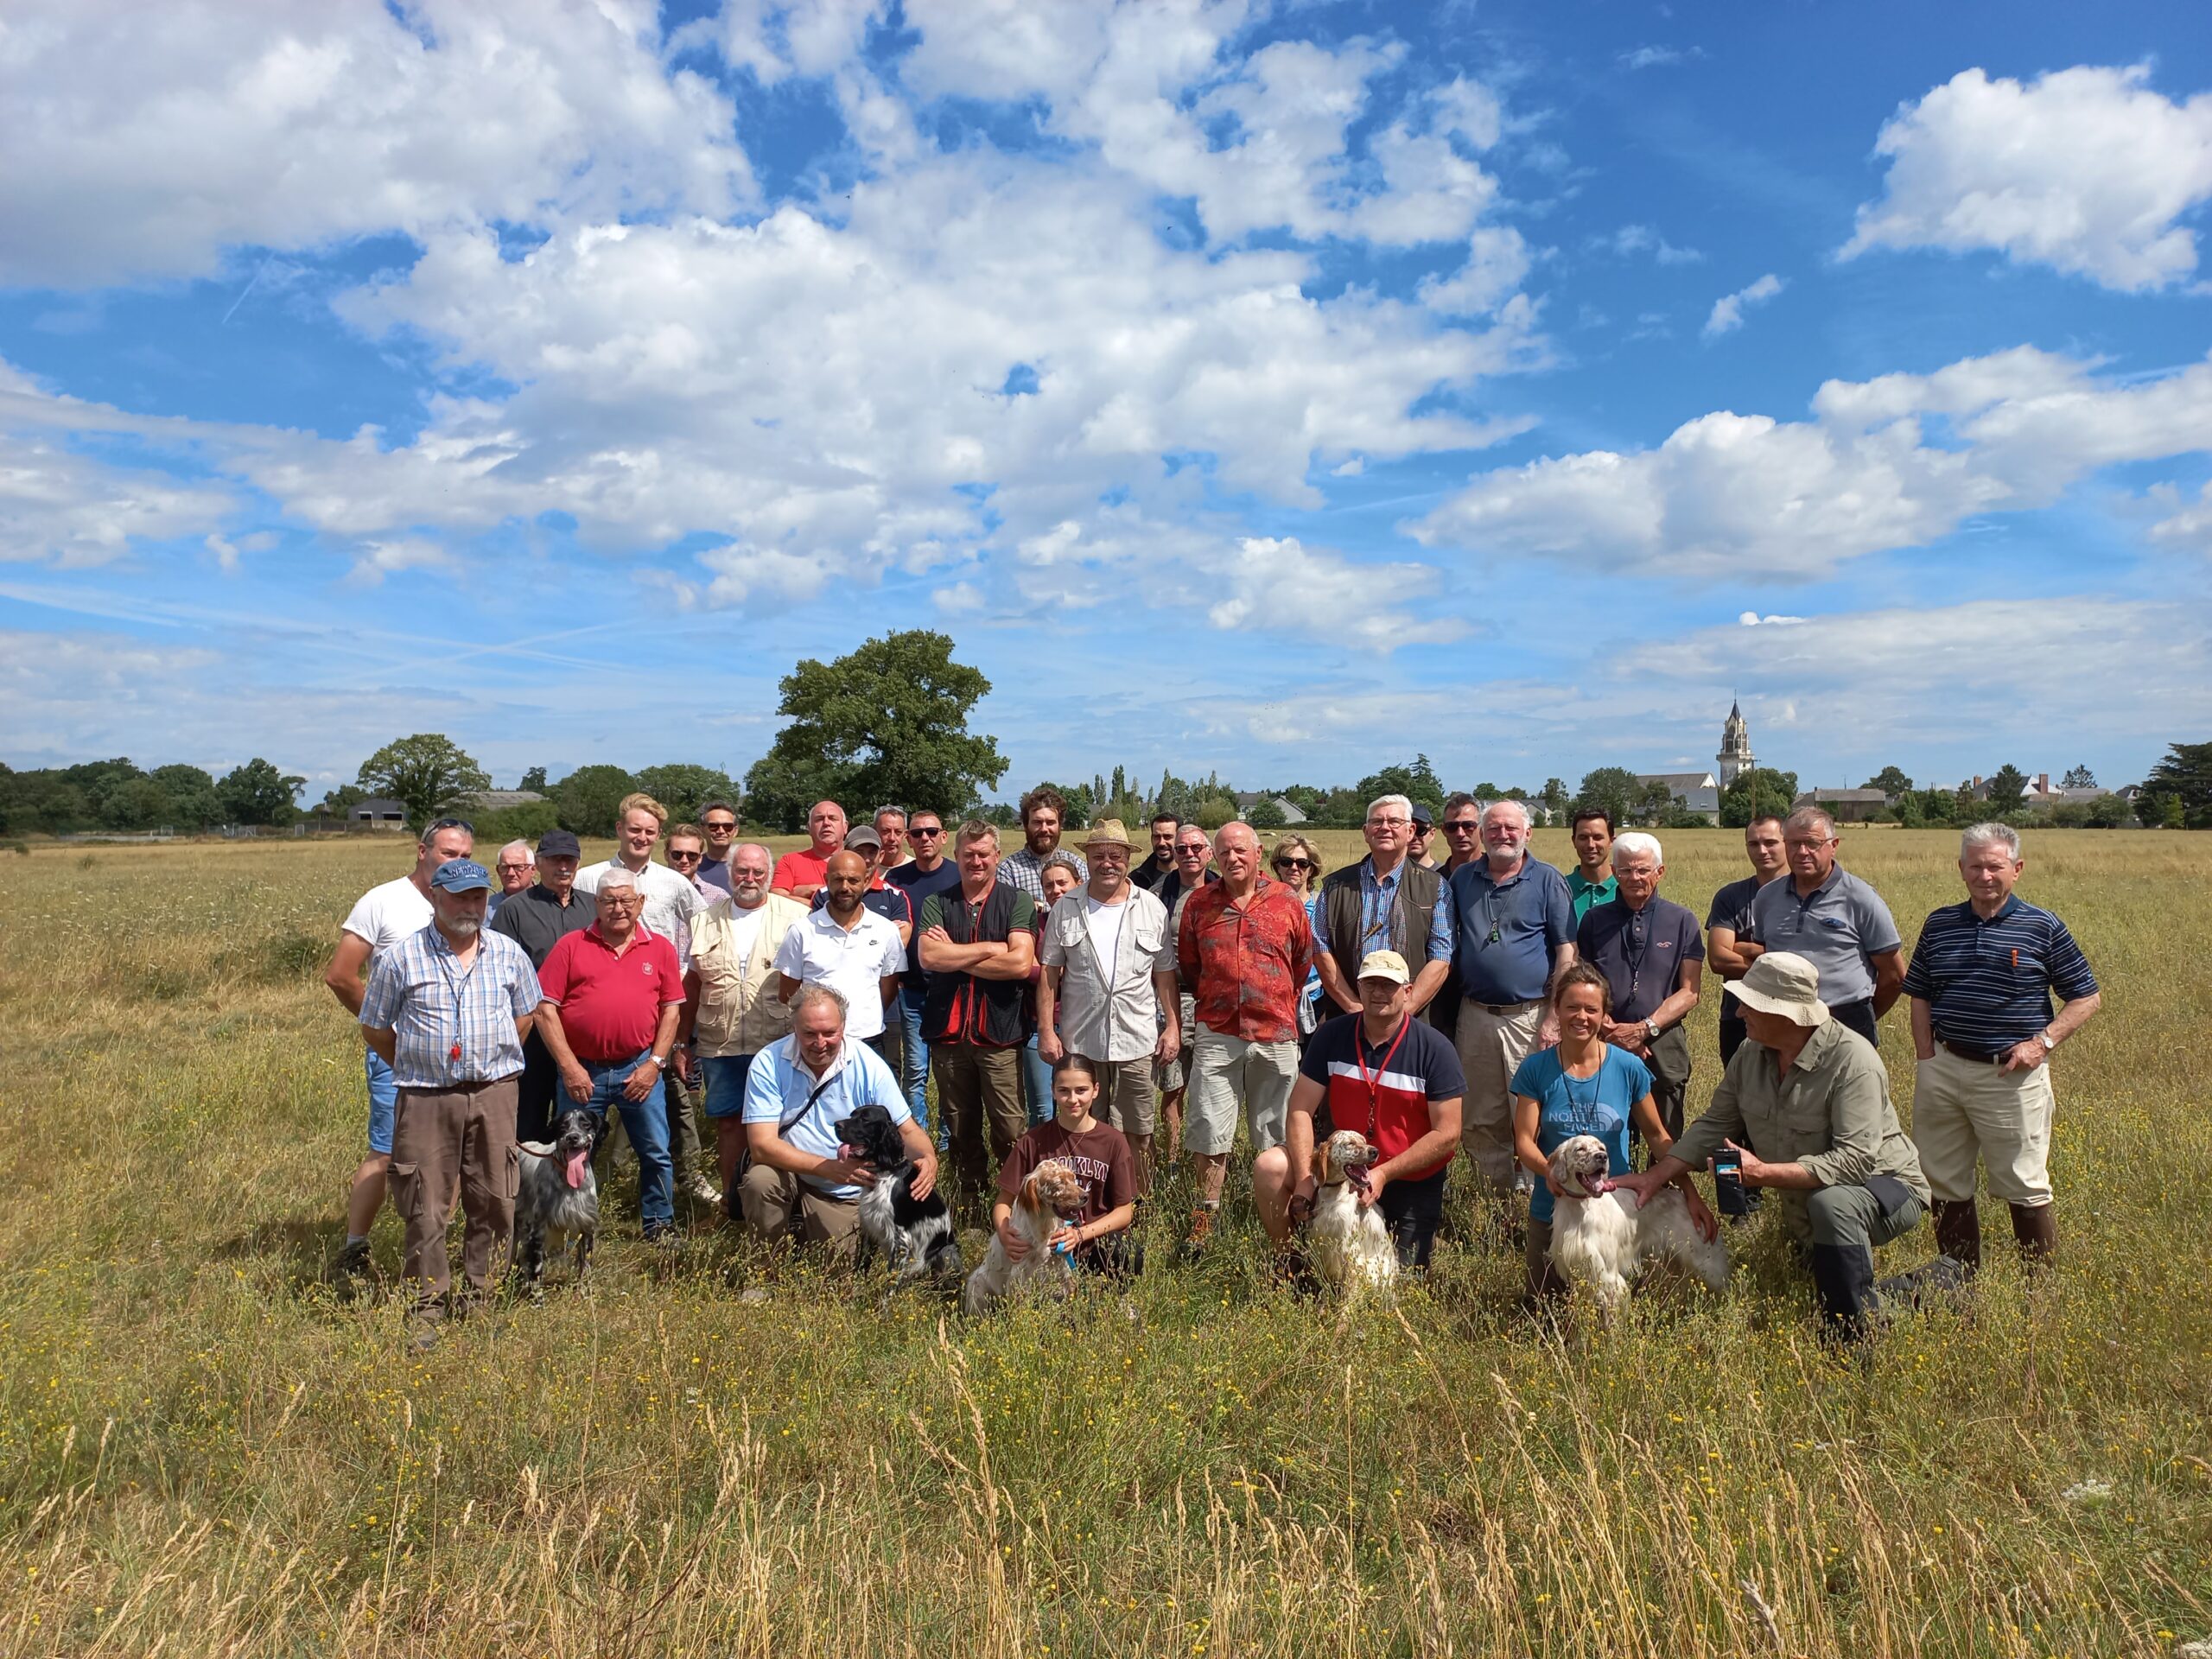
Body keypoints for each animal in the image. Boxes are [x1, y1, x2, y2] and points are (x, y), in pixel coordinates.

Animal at [508, 1119, 597, 1300]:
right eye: (563, 1125)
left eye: (586, 1124)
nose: (572, 1138)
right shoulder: (536, 1231)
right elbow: (536, 1271)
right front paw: (537, 1299)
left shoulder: (587, 1227)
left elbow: (586, 1266)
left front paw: (584, 1293)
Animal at [831, 1110, 960, 1292]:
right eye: (852, 1115)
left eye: (865, 1119)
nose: (836, 1125)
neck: (886, 1171)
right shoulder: (869, 1227)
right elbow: (863, 1263)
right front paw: (856, 1292)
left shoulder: (901, 1240)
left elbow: (890, 1282)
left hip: (946, 1252)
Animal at [960, 1159, 1088, 1318]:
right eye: (1059, 1182)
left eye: (1072, 1178)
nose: (1086, 1196)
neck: (1045, 1228)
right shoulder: (1020, 1275)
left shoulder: (1062, 1265)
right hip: (976, 1284)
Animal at [1292, 1132, 1397, 1300]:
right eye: (1350, 1143)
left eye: (1364, 1141)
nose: (1375, 1151)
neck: (1332, 1196)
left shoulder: (1349, 1252)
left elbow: (1347, 1296)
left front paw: (1343, 1308)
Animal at [1548, 1141, 1716, 1318]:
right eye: (1580, 1149)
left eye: (1602, 1148)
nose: (1602, 1157)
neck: (1580, 1208)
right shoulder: (1579, 1272)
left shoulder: (1609, 1276)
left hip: (1708, 1266)